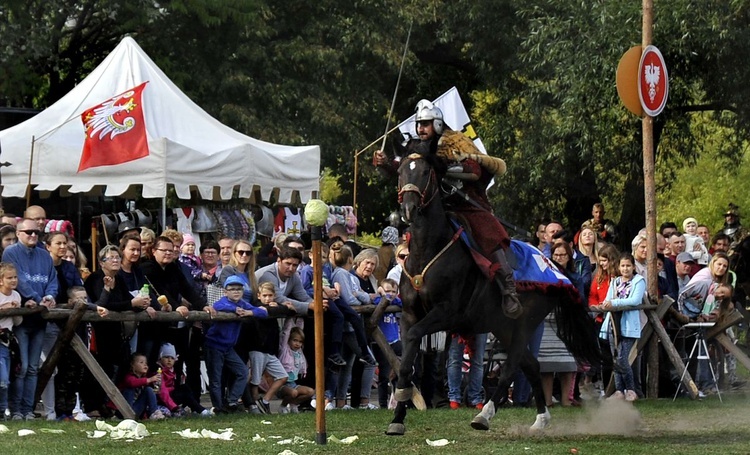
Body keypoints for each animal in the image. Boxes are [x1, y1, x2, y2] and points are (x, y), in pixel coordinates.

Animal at [388, 154, 604, 438]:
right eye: (401, 172)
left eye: (425, 172)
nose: (409, 208)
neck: (428, 250)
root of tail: (557, 269)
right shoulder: (410, 315)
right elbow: (405, 361)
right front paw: (398, 417)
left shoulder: (446, 313)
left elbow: (414, 337)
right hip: (503, 327)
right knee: (531, 365)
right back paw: (541, 419)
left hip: (523, 324)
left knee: (511, 368)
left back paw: (485, 414)